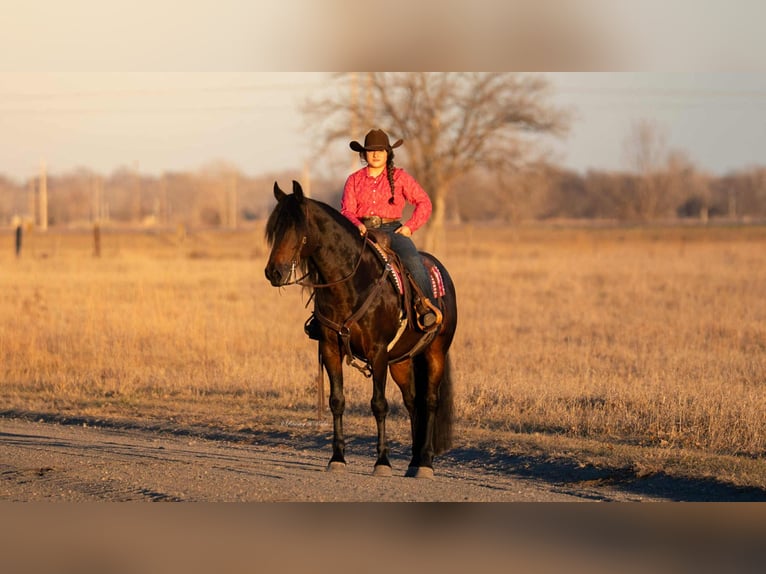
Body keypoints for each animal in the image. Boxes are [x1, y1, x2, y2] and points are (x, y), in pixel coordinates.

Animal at [264, 180, 458, 478]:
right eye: (275, 228)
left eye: (297, 228)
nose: (273, 272)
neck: (351, 283)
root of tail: (442, 273)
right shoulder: (330, 349)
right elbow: (336, 400)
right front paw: (337, 458)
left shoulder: (377, 352)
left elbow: (379, 404)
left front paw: (383, 463)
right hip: (401, 361)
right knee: (413, 402)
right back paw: (413, 461)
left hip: (435, 351)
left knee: (430, 400)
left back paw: (425, 463)